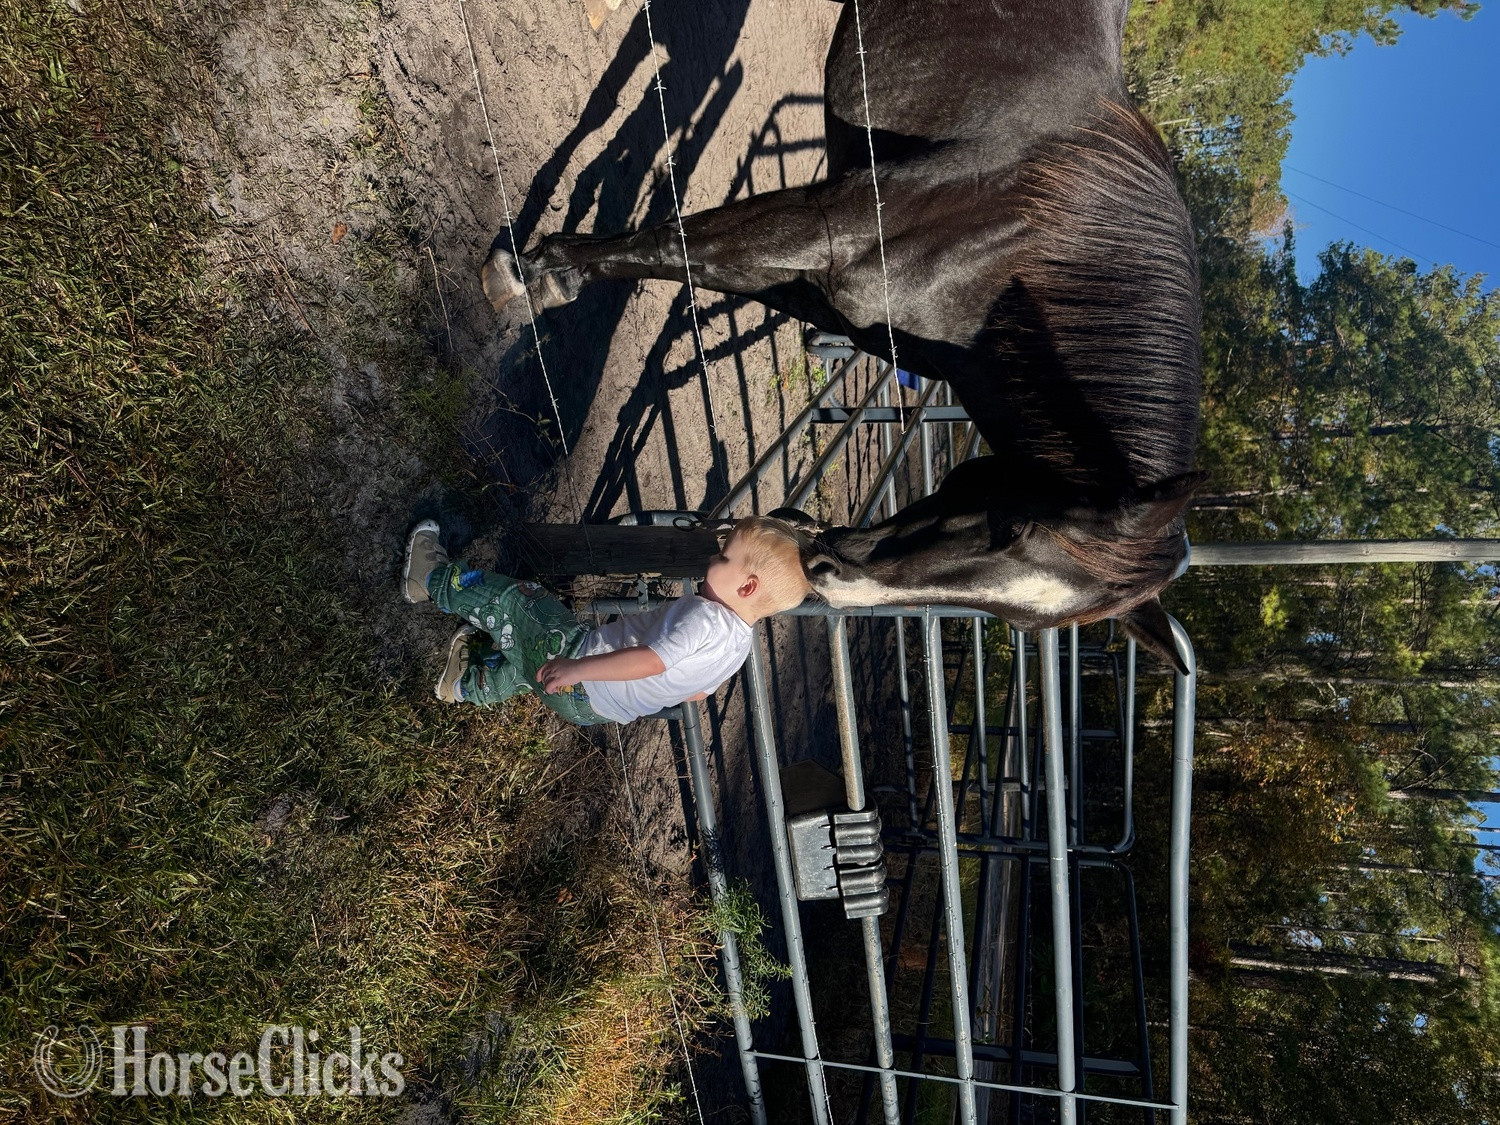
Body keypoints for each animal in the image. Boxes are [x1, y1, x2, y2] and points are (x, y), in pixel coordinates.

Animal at [481, 0, 1203, 670]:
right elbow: (671, 246)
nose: (828, 575)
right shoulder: (824, 223)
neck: (1019, 243)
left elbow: (691, 259)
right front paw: (529, 275)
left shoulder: (831, 293)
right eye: (1013, 525)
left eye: (1022, 621)